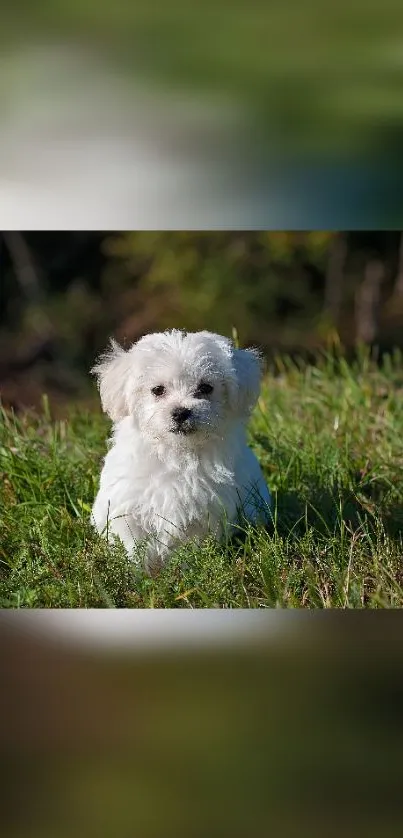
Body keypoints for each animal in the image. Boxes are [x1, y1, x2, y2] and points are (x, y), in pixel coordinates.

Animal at [91, 332, 272, 576]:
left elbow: (188, 549)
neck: (176, 453)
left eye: (205, 388)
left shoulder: (202, 516)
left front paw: (183, 574)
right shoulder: (126, 509)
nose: (180, 412)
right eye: (157, 390)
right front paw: (135, 576)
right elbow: (132, 547)